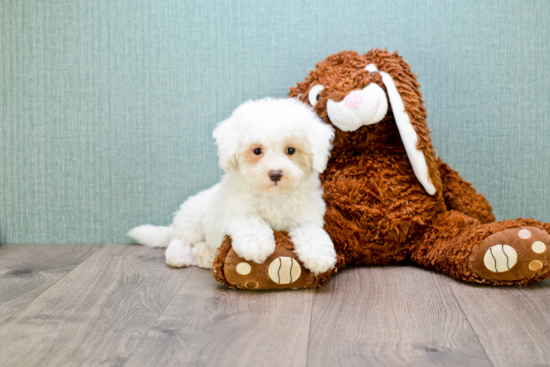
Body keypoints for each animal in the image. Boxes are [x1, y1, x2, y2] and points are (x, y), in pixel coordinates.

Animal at [128, 98, 336, 276]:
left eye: (291, 150)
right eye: (257, 151)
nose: (275, 173)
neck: (273, 196)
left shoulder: (306, 216)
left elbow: (311, 232)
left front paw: (320, 255)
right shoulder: (234, 211)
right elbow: (251, 221)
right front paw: (256, 244)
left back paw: (205, 255)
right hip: (191, 220)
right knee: (178, 239)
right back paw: (178, 256)